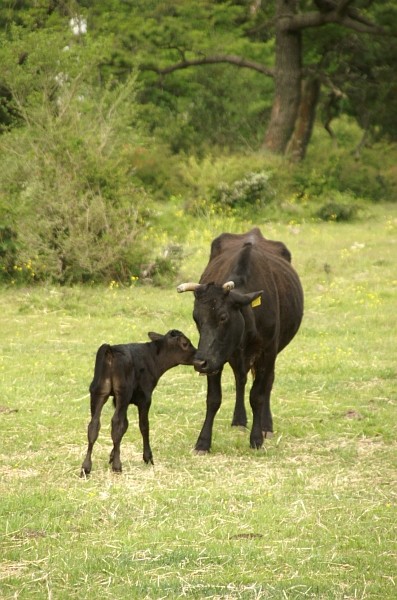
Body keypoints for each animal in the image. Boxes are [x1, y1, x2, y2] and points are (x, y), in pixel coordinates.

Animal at [81, 330, 196, 476]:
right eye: (185, 343)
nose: (200, 357)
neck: (152, 358)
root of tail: (110, 349)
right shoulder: (145, 398)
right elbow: (143, 426)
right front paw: (147, 457)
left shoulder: (117, 400)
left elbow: (125, 425)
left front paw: (112, 455)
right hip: (122, 392)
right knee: (116, 423)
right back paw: (117, 466)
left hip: (98, 391)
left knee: (94, 425)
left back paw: (86, 467)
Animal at [177, 227, 304, 452]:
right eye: (196, 318)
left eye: (223, 317)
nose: (199, 362)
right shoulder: (216, 358)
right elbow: (213, 399)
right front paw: (203, 442)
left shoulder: (267, 353)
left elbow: (258, 395)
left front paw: (257, 438)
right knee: (240, 380)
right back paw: (238, 420)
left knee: (266, 383)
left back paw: (266, 426)